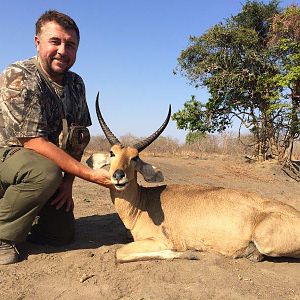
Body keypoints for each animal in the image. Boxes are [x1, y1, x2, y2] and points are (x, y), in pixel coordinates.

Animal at [86, 94, 300, 262]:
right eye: (112, 153)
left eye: (135, 157)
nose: (118, 176)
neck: (142, 204)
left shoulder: (159, 241)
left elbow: (120, 253)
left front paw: (189, 253)